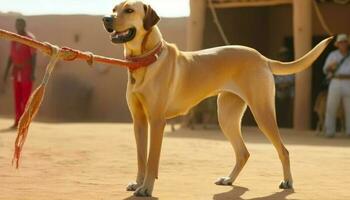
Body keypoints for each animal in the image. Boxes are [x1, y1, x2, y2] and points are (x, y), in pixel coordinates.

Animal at [102, 0, 332, 197]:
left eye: (129, 10)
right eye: (114, 9)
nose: (105, 18)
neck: (146, 59)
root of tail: (261, 57)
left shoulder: (157, 121)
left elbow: (151, 159)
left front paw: (146, 188)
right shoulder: (139, 121)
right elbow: (141, 157)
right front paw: (138, 183)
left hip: (262, 113)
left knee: (283, 150)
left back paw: (287, 182)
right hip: (227, 117)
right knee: (243, 153)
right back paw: (229, 180)